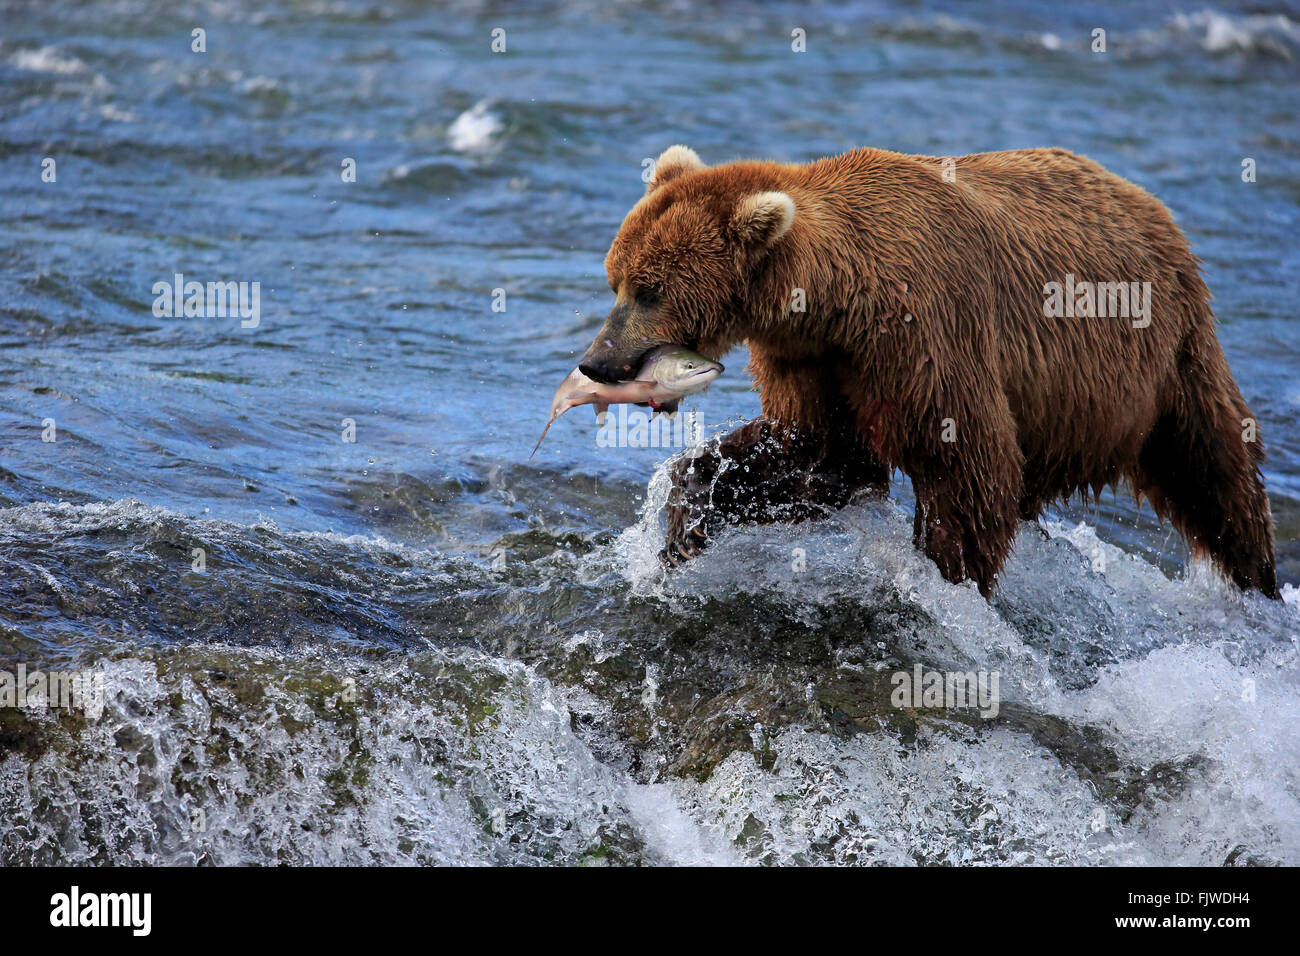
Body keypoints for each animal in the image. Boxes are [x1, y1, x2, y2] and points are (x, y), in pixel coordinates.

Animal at [579, 141, 1279, 598]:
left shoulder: (925, 335)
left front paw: (950, 579)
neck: (838, 301)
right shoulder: (815, 359)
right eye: (617, 280)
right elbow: (818, 454)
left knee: (1214, 463)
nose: (595, 361)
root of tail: (1151, 204)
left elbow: (970, 467)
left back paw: (1258, 581)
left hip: (1166, 353)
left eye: (651, 289)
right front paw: (681, 530)